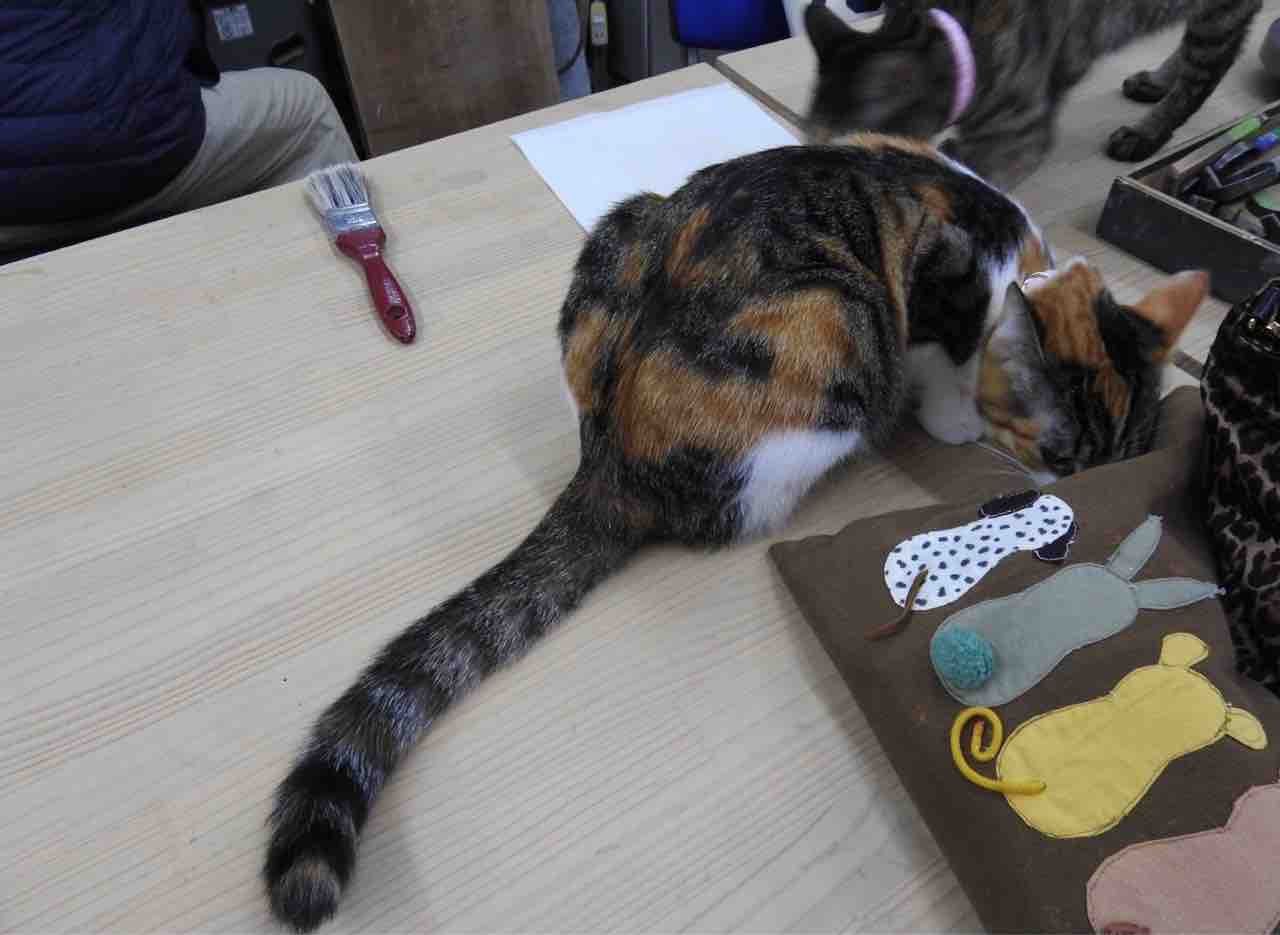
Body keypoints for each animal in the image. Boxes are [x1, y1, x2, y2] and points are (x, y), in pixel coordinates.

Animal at [263, 138, 1205, 932]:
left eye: (1118, 460)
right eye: (1059, 456)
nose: (1074, 493)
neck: (1019, 249)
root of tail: (610, 455)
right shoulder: (944, 293)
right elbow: (947, 376)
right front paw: (955, 423)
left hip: (622, 224)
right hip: (835, 339)